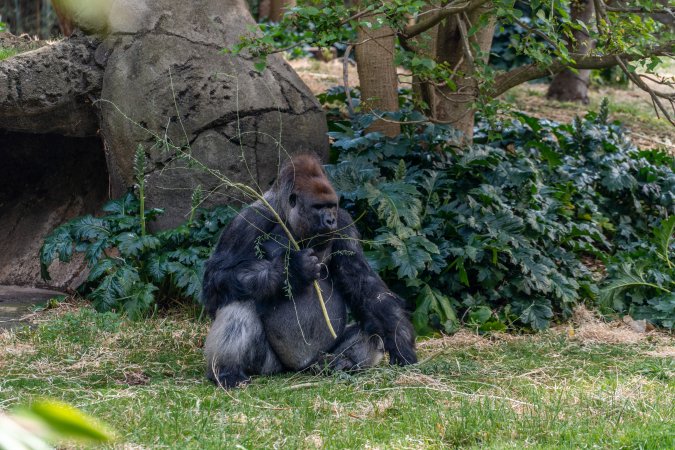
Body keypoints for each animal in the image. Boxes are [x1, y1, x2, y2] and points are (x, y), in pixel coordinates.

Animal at [202, 154, 417, 388]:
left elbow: (364, 284)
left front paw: (400, 339)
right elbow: (216, 279)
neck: (286, 215)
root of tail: (303, 367)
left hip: (321, 356)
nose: (330, 220)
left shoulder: (344, 222)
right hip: (271, 367)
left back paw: (342, 363)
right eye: (318, 207)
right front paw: (291, 271)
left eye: (331, 206)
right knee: (239, 301)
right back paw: (228, 372)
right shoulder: (249, 220)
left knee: (371, 331)